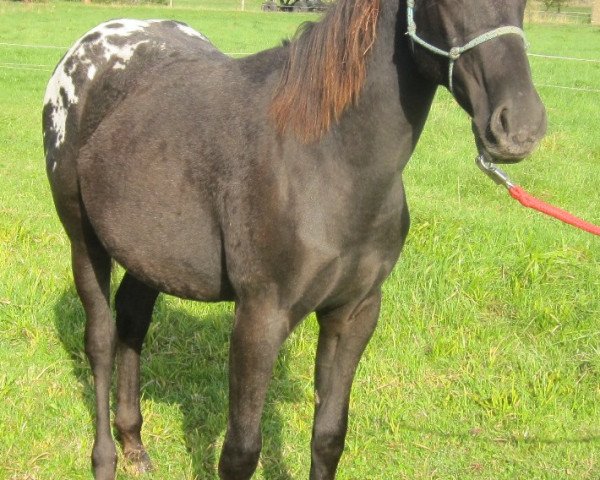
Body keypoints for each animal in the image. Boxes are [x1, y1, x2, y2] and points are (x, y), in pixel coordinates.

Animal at [42, 0, 548, 478]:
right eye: (441, 3)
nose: (519, 126)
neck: (325, 160)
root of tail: (90, 45)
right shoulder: (260, 318)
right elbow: (240, 454)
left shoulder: (354, 313)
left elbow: (328, 438)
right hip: (83, 241)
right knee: (101, 340)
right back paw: (105, 460)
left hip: (149, 255)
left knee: (132, 322)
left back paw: (135, 446)